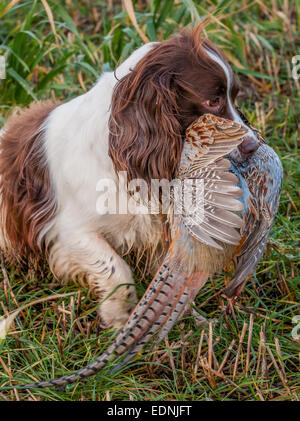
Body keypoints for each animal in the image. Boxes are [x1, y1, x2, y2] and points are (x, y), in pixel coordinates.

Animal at [0, 23, 258, 328]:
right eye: (213, 101)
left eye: (235, 96)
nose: (255, 146)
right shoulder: (69, 231)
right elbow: (116, 268)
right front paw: (119, 315)